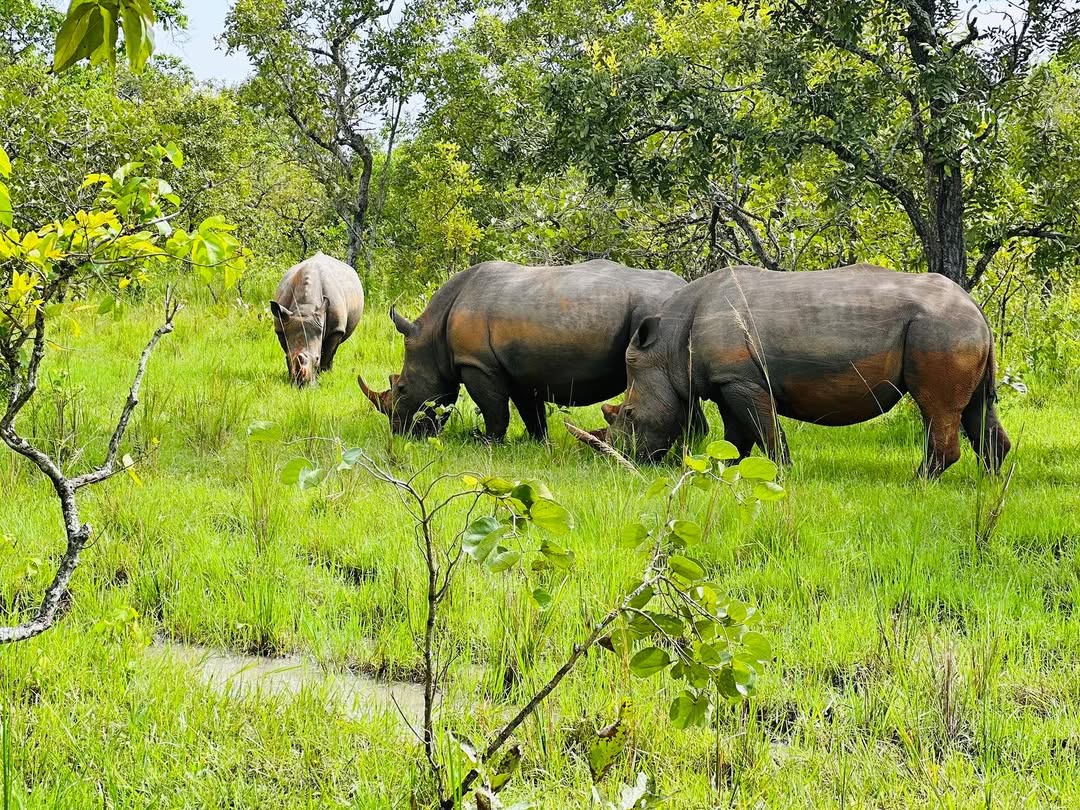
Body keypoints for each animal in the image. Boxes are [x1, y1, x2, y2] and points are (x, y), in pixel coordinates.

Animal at [270, 252, 364, 387]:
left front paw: (323, 376)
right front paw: (290, 378)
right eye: (287, 358)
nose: (301, 385)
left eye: (317, 359)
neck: (305, 308)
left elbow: (328, 353)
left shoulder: (336, 330)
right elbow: (287, 349)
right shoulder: (281, 327)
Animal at [357, 259, 688, 440]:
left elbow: (494, 409)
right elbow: (530, 411)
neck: (431, 337)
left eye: (402, 389)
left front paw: (487, 442)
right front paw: (537, 443)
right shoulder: (517, 368)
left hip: (652, 315)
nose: (400, 434)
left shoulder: (477, 363)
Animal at [587, 264, 1010, 478]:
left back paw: (916, 482)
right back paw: (988, 484)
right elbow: (737, 435)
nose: (623, 460)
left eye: (628, 414)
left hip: (941, 329)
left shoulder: (742, 379)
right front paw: (725, 469)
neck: (668, 349)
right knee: (976, 407)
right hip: (956, 329)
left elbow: (763, 429)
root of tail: (975, 307)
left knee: (936, 408)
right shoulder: (726, 380)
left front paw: (781, 473)